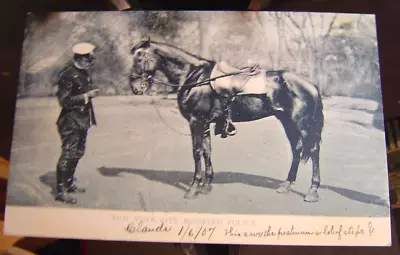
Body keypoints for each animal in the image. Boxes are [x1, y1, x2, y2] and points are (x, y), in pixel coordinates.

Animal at [130, 37, 324, 202]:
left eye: (139, 58)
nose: (135, 87)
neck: (194, 78)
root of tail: (311, 85)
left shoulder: (196, 122)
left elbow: (196, 152)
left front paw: (193, 188)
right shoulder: (205, 124)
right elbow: (207, 151)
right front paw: (205, 185)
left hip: (301, 123)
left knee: (313, 151)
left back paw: (312, 191)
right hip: (287, 122)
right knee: (297, 149)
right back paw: (286, 185)